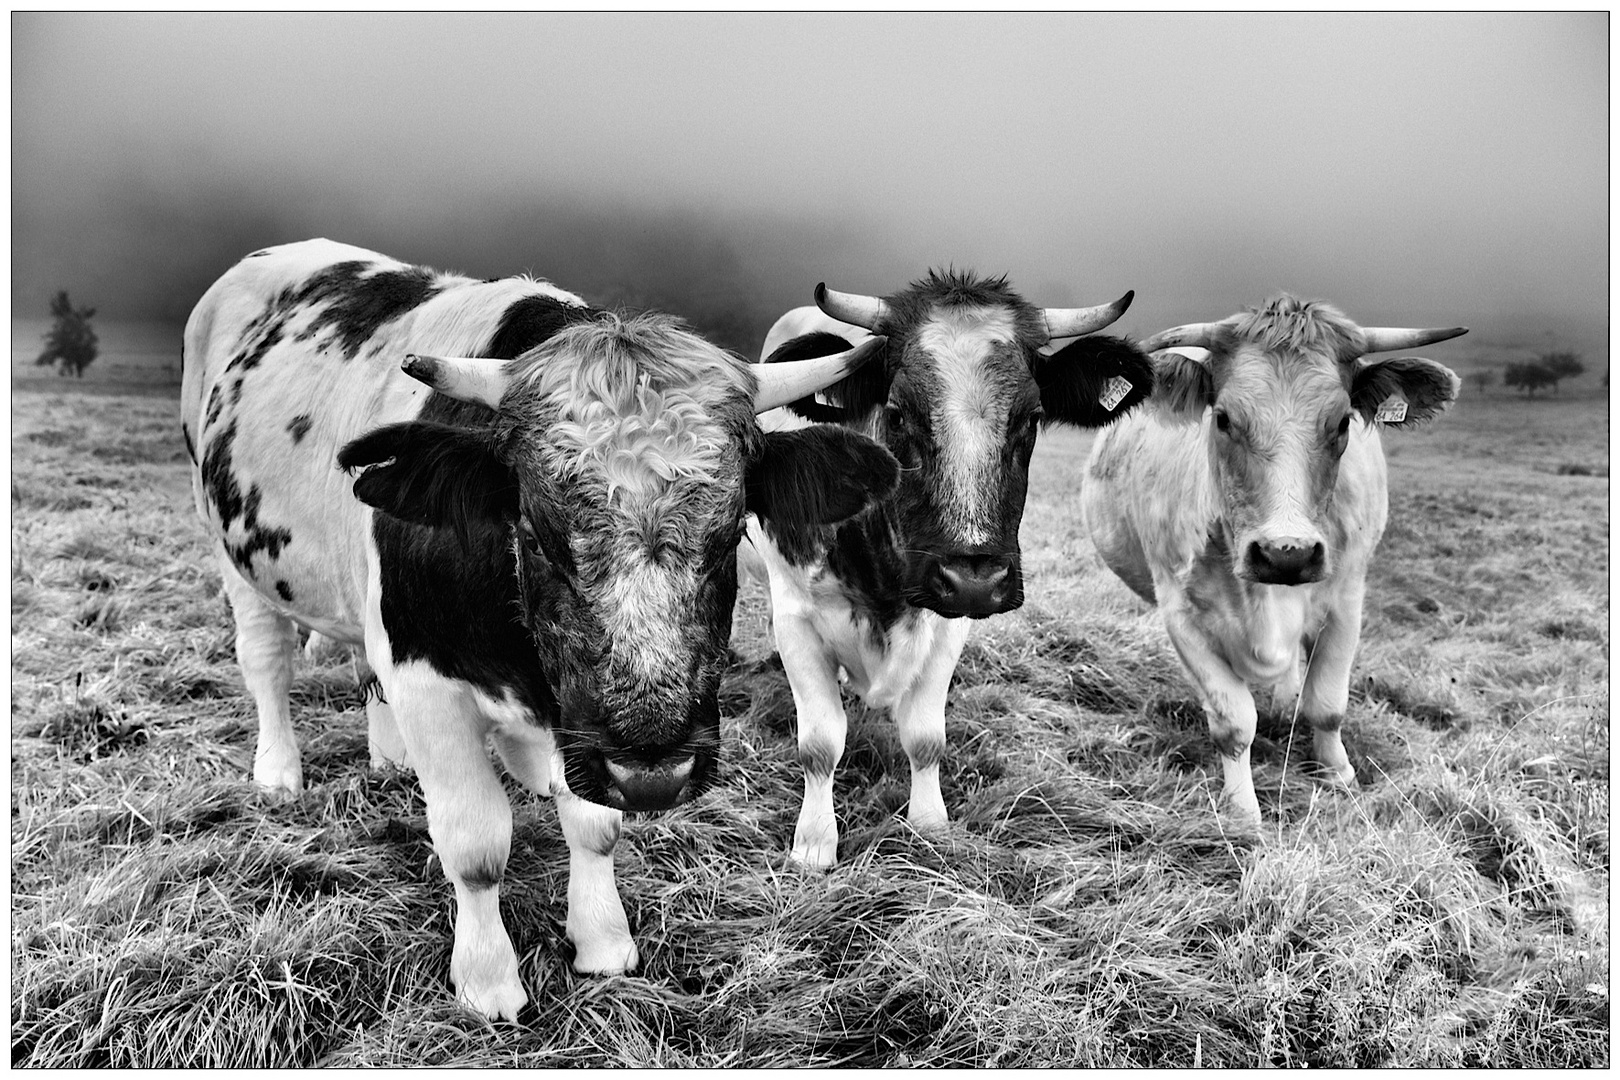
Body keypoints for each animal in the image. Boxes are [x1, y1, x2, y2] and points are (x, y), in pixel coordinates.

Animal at [191, 238, 907, 1023]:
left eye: (730, 536)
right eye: (533, 534)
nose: (653, 772)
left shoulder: (575, 724)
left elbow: (592, 825)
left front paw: (602, 941)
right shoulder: (428, 682)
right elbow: (476, 845)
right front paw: (487, 980)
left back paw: (390, 760)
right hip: (233, 555)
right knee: (266, 663)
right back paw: (278, 773)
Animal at [745, 272, 1153, 867]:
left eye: (1032, 419)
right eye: (896, 414)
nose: (975, 581)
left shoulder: (948, 623)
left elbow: (925, 737)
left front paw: (930, 826)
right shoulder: (795, 618)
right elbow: (819, 744)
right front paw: (815, 844)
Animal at [1082, 296, 1464, 829]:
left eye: (1342, 422)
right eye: (1222, 418)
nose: (1288, 552)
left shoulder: (1347, 600)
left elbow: (1327, 703)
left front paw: (1338, 773)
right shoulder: (1180, 614)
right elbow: (1233, 721)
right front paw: (1242, 810)